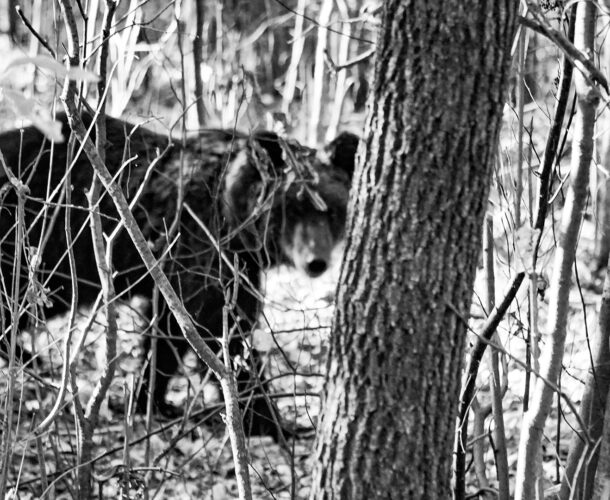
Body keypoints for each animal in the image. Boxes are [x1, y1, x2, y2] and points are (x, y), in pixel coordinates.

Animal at [0, 112, 356, 438]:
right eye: (292, 208)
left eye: (332, 210)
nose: (316, 262)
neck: (230, 219)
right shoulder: (201, 248)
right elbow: (213, 329)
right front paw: (270, 420)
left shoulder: (225, 267)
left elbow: (180, 330)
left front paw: (151, 399)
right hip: (38, 245)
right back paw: (28, 357)